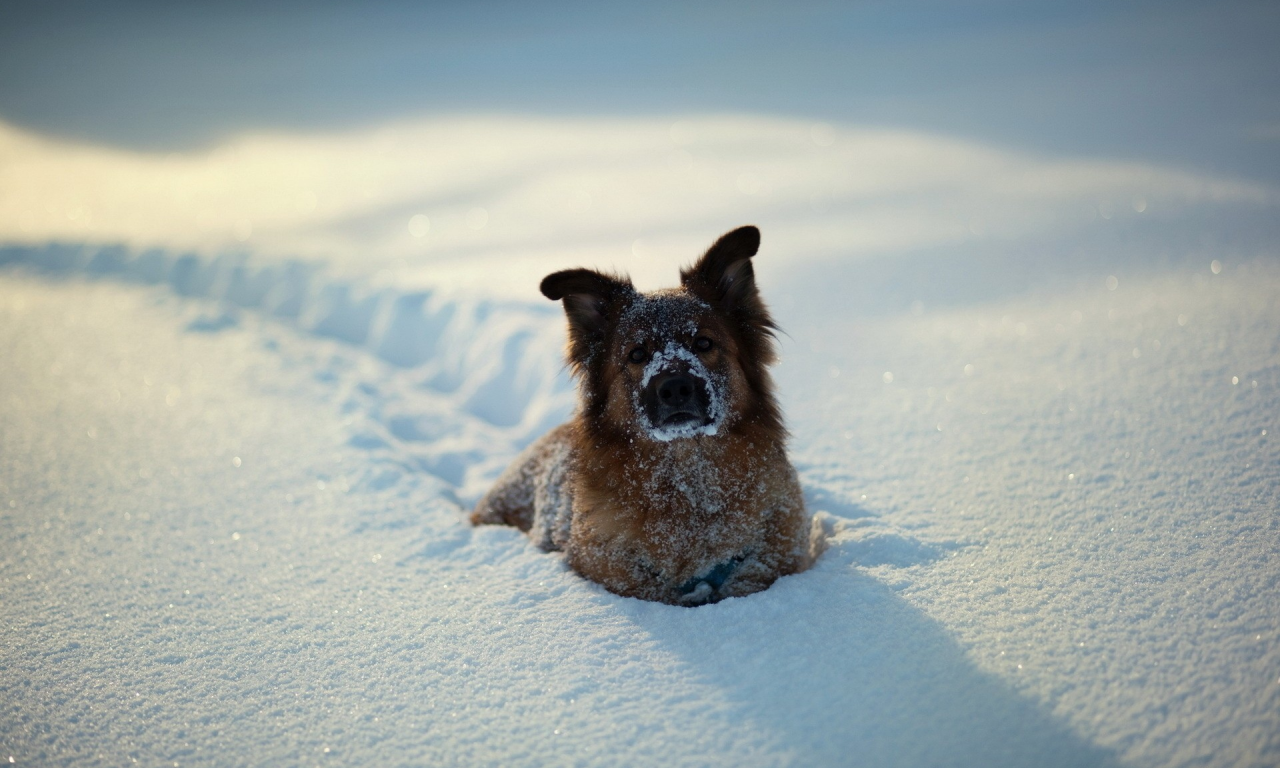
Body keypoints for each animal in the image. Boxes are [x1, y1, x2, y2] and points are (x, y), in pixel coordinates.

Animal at [471, 225, 808, 604]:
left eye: (704, 344)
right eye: (636, 354)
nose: (675, 388)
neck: (687, 482)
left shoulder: (782, 544)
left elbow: (754, 576)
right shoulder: (605, 561)